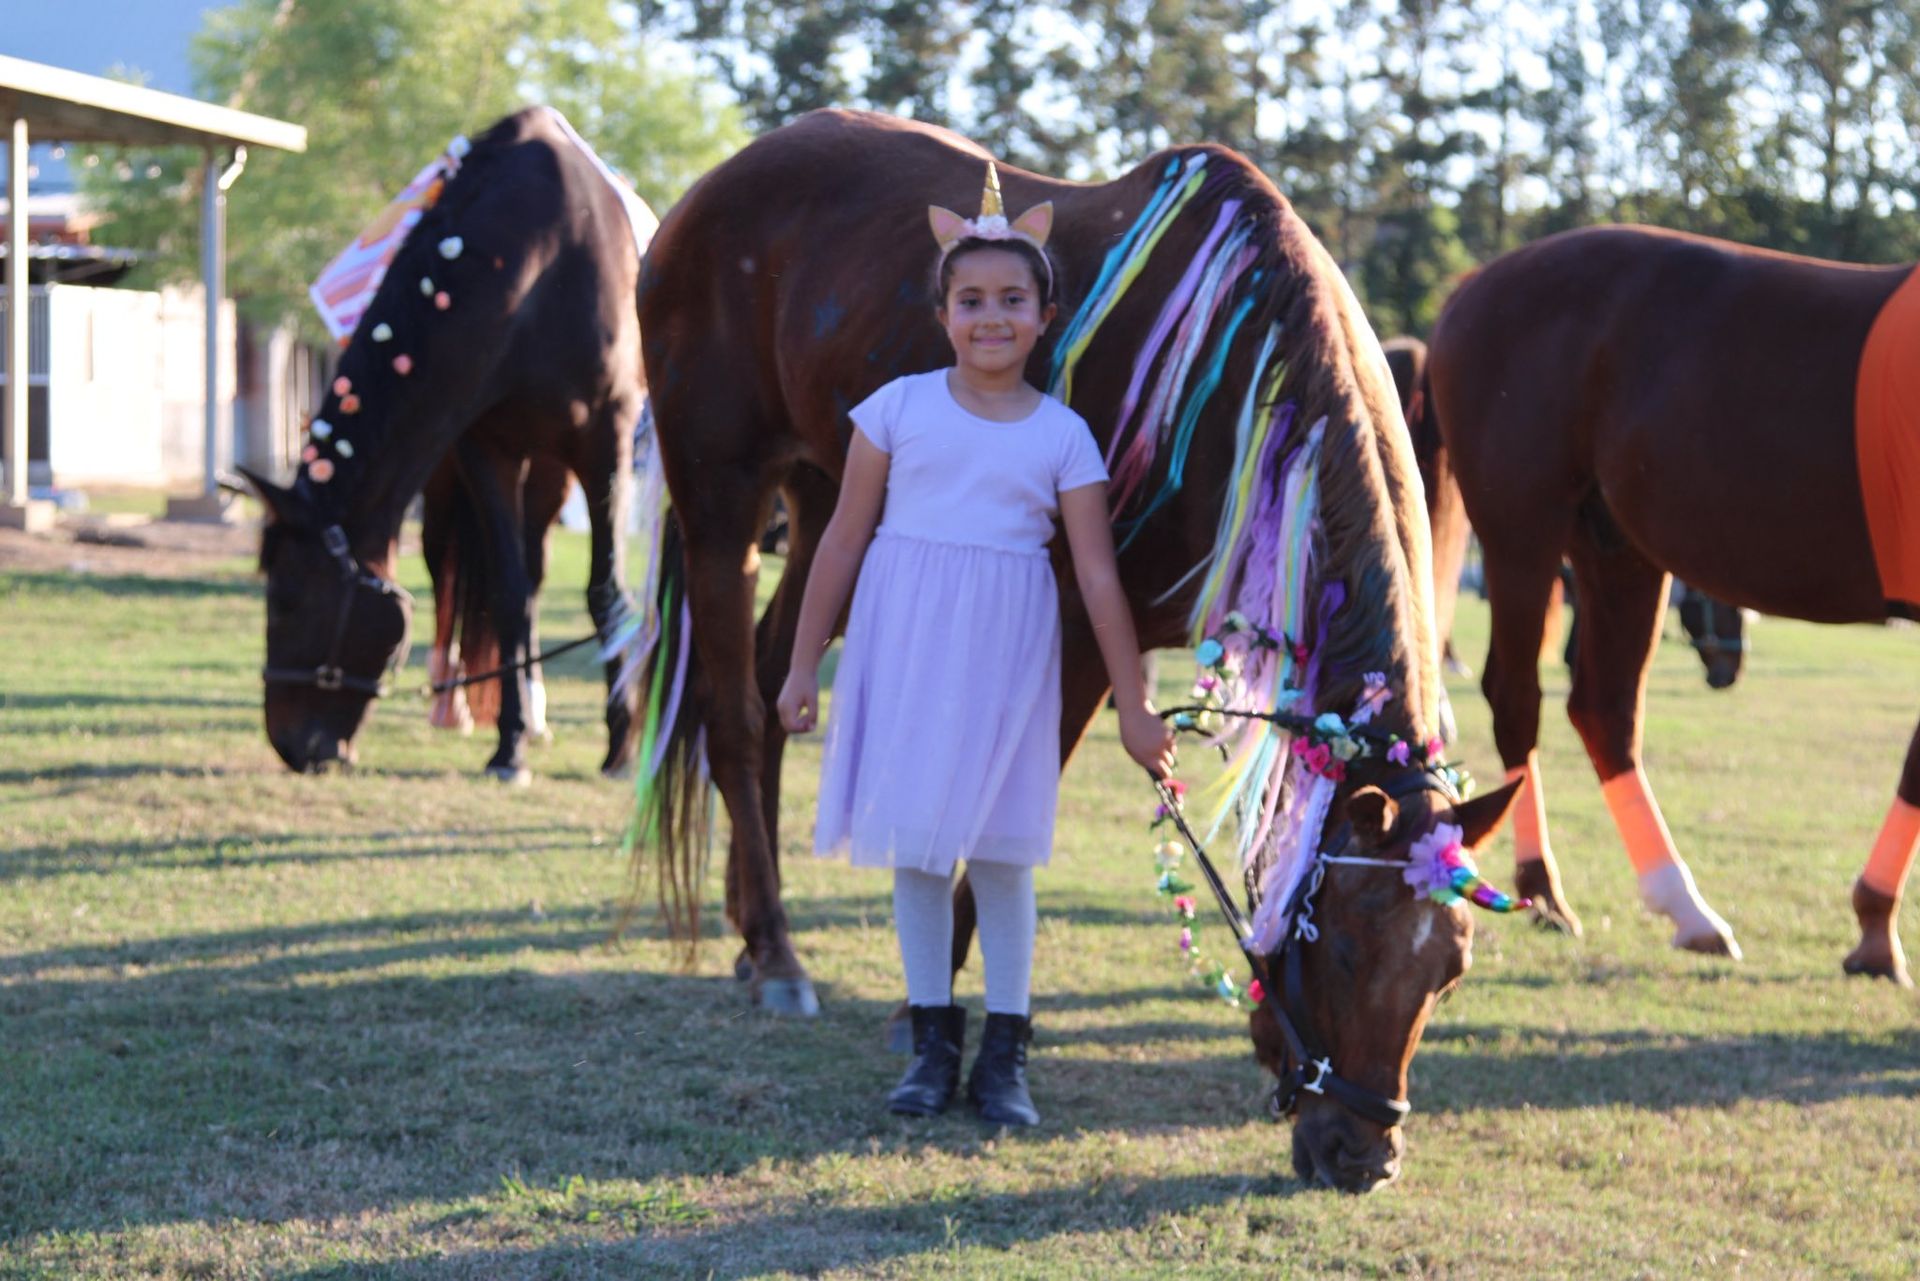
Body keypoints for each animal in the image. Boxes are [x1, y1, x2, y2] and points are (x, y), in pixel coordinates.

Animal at [242, 106, 648, 783]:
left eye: (289, 602)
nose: (290, 747)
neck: (542, 268)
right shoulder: (485, 447)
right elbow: (508, 597)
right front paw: (509, 745)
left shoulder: (604, 443)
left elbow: (606, 594)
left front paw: (620, 745)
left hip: (554, 471)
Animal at [628, 109, 1521, 1191]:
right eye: (1344, 946)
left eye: (1452, 967)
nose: (1363, 1155)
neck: (1244, 381)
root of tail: (705, 195)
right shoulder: (1084, 627)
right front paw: (933, 1025)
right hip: (722, 495)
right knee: (734, 715)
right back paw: (776, 951)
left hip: (828, 499)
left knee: (767, 686)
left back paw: (753, 933)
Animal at [1424, 223, 1919, 980]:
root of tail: (1477, 284)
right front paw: (1874, 927)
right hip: (1521, 533)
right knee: (1518, 699)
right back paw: (1546, 890)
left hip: (1614, 547)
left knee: (1603, 709)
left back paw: (1685, 908)